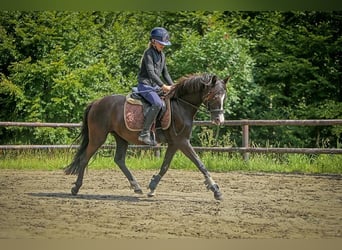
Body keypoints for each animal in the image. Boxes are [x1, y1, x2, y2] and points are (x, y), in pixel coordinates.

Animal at [64, 72, 230, 199]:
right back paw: (76, 188)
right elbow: (200, 164)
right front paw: (216, 190)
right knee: (85, 158)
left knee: (119, 160)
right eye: (214, 95)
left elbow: (165, 166)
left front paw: (152, 187)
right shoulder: (182, 142)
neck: (181, 106)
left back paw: (137, 187)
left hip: (121, 137)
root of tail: (96, 102)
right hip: (98, 137)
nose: (219, 120)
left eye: (224, 97)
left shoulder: (174, 143)